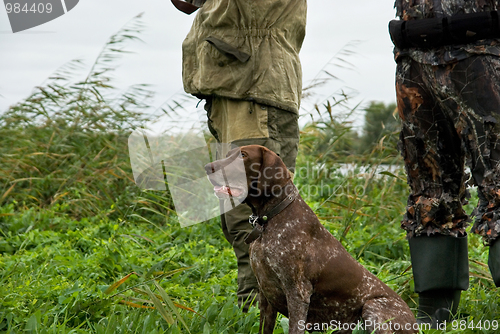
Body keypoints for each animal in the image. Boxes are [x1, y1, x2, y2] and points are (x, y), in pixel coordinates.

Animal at [204, 145, 418, 334]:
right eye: (228, 154)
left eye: (243, 155)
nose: (207, 167)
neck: (269, 219)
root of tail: (416, 324)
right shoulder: (265, 294)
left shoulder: (297, 294)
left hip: (372, 307)